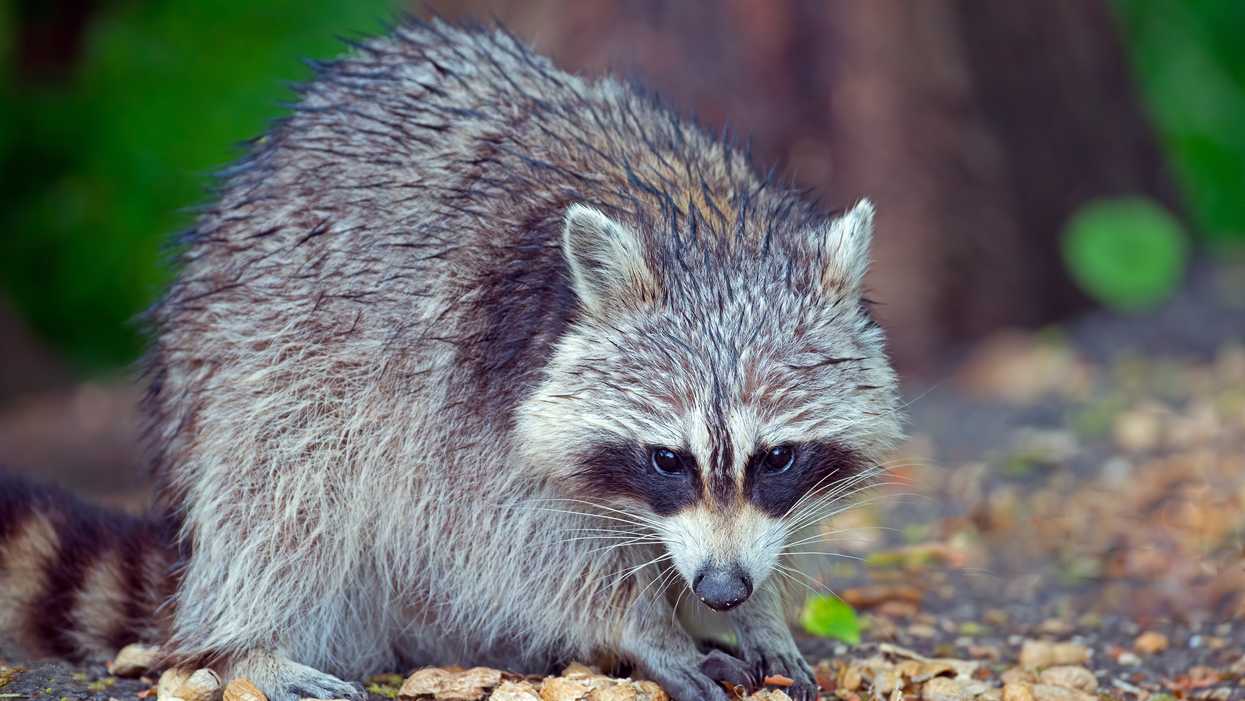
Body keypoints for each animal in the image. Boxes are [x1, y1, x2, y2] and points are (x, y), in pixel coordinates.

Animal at [0, 19, 903, 701]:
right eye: (666, 459)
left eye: (776, 456)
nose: (720, 587)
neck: (706, 227)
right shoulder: (463, 399)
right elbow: (501, 542)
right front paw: (642, 624)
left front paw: (758, 609)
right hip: (248, 349)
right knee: (280, 489)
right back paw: (245, 640)